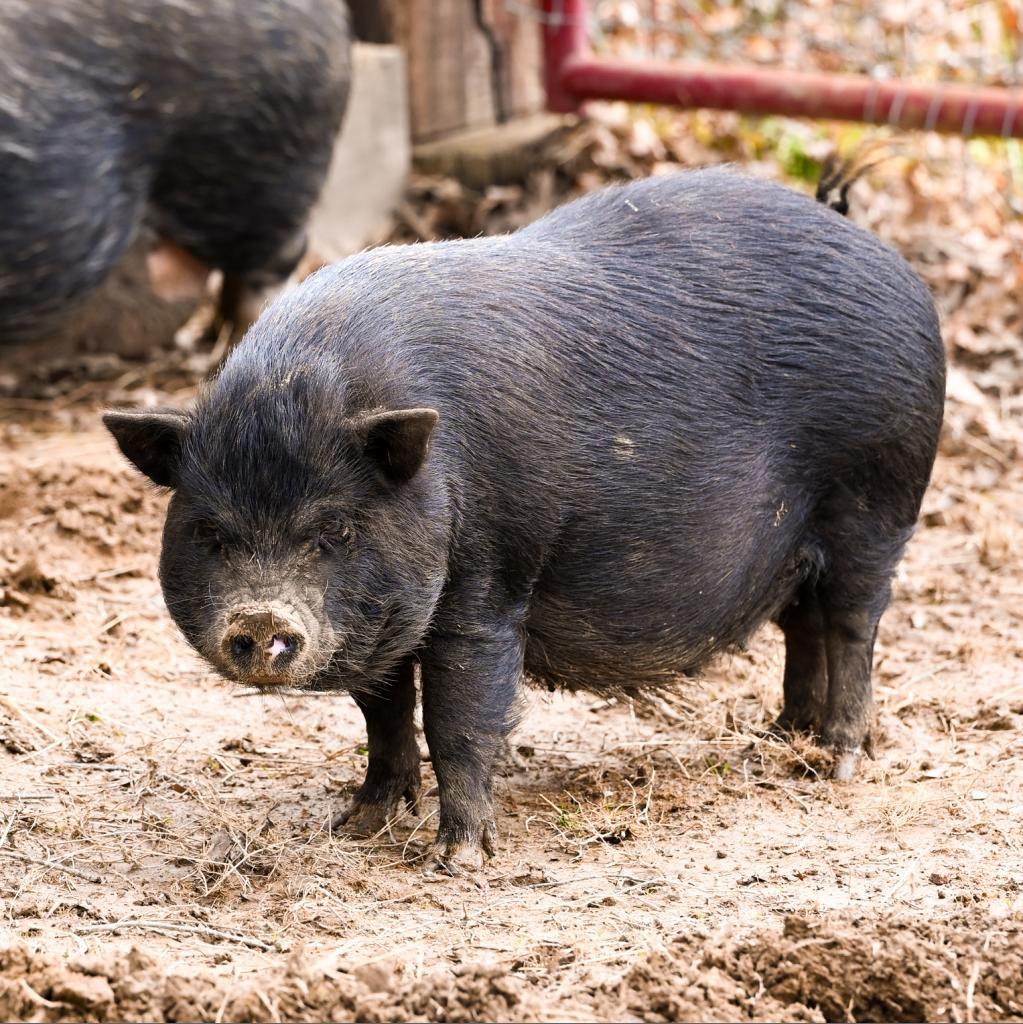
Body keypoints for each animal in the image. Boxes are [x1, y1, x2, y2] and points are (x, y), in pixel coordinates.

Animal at [105, 168, 946, 875]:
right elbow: (382, 715)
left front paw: (456, 860)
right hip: (800, 545)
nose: (259, 618)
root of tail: (884, 257)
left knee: (853, 624)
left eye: (335, 530)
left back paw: (836, 762)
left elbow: (459, 717)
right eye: (211, 533)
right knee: (803, 626)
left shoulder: (488, 583)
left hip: (876, 500)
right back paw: (782, 739)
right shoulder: (386, 617)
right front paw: (357, 826)